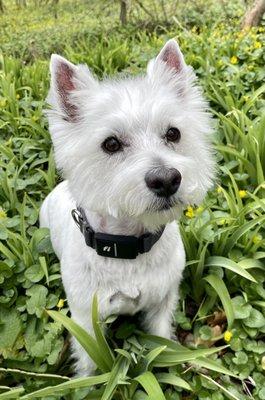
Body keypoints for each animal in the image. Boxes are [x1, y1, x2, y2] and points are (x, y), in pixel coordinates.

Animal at [39, 39, 213, 376]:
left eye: (173, 133)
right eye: (110, 144)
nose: (166, 180)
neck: (128, 247)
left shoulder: (162, 303)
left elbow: (162, 341)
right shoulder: (85, 319)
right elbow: (91, 365)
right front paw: (87, 381)